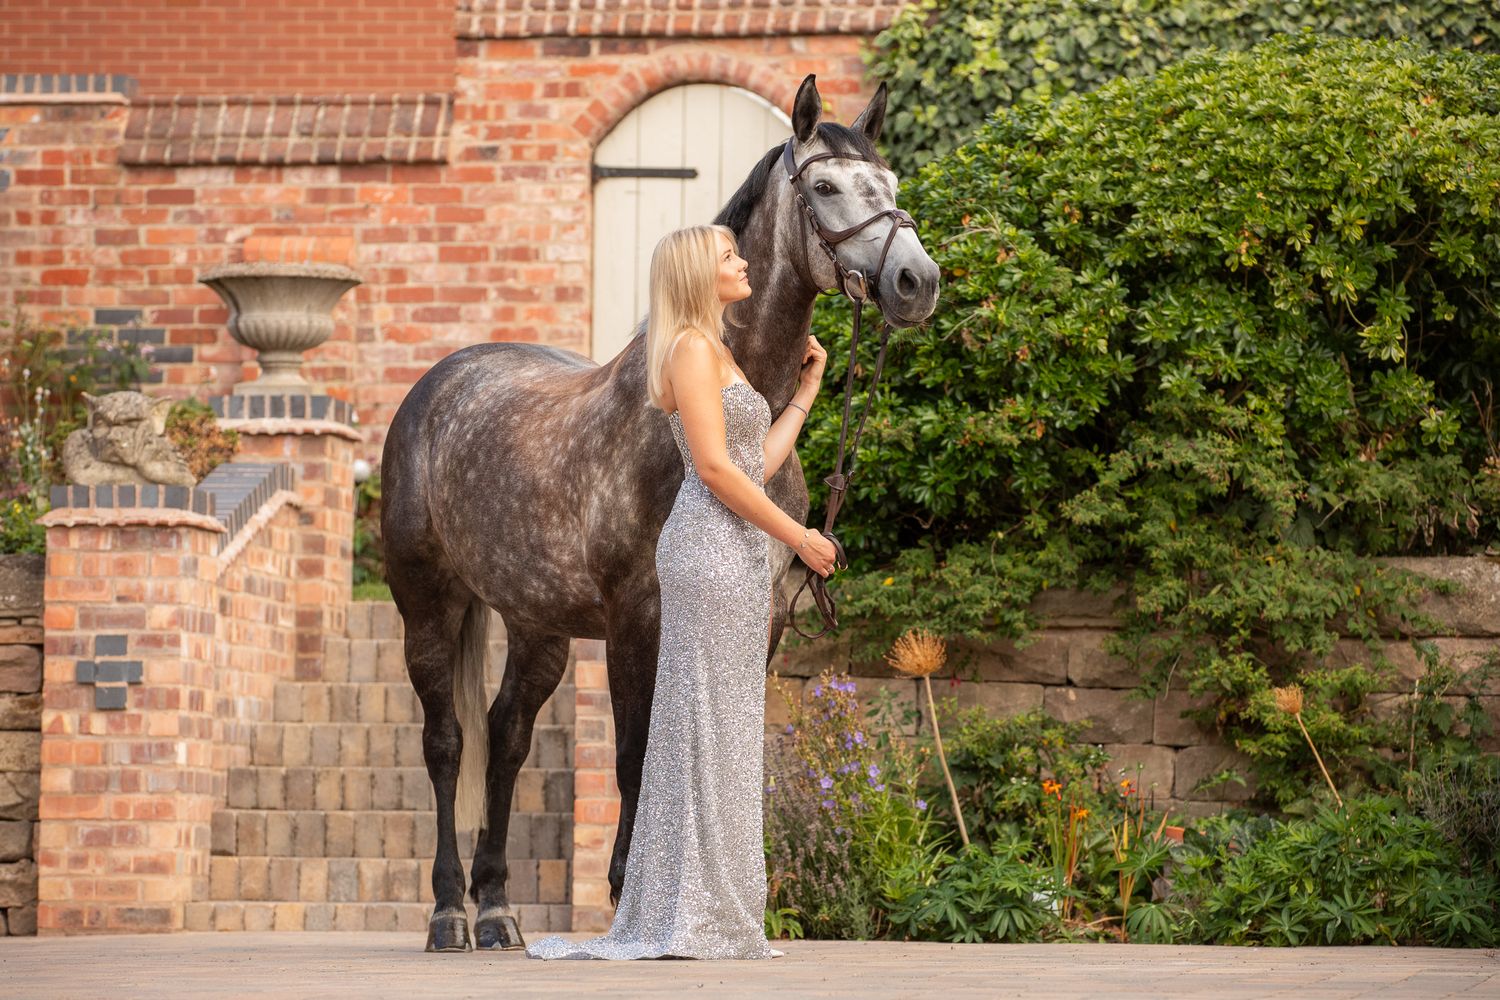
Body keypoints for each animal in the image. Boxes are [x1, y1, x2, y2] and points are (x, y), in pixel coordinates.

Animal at [380, 74, 940, 952]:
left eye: (890, 183)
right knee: (447, 745)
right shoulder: (638, 619)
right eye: (824, 188)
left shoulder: (762, 622)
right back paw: (448, 915)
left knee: (505, 738)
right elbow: (635, 755)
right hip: (428, 604)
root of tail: (437, 387)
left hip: (537, 622)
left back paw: (499, 911)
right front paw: (630, 904)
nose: (916, 282)